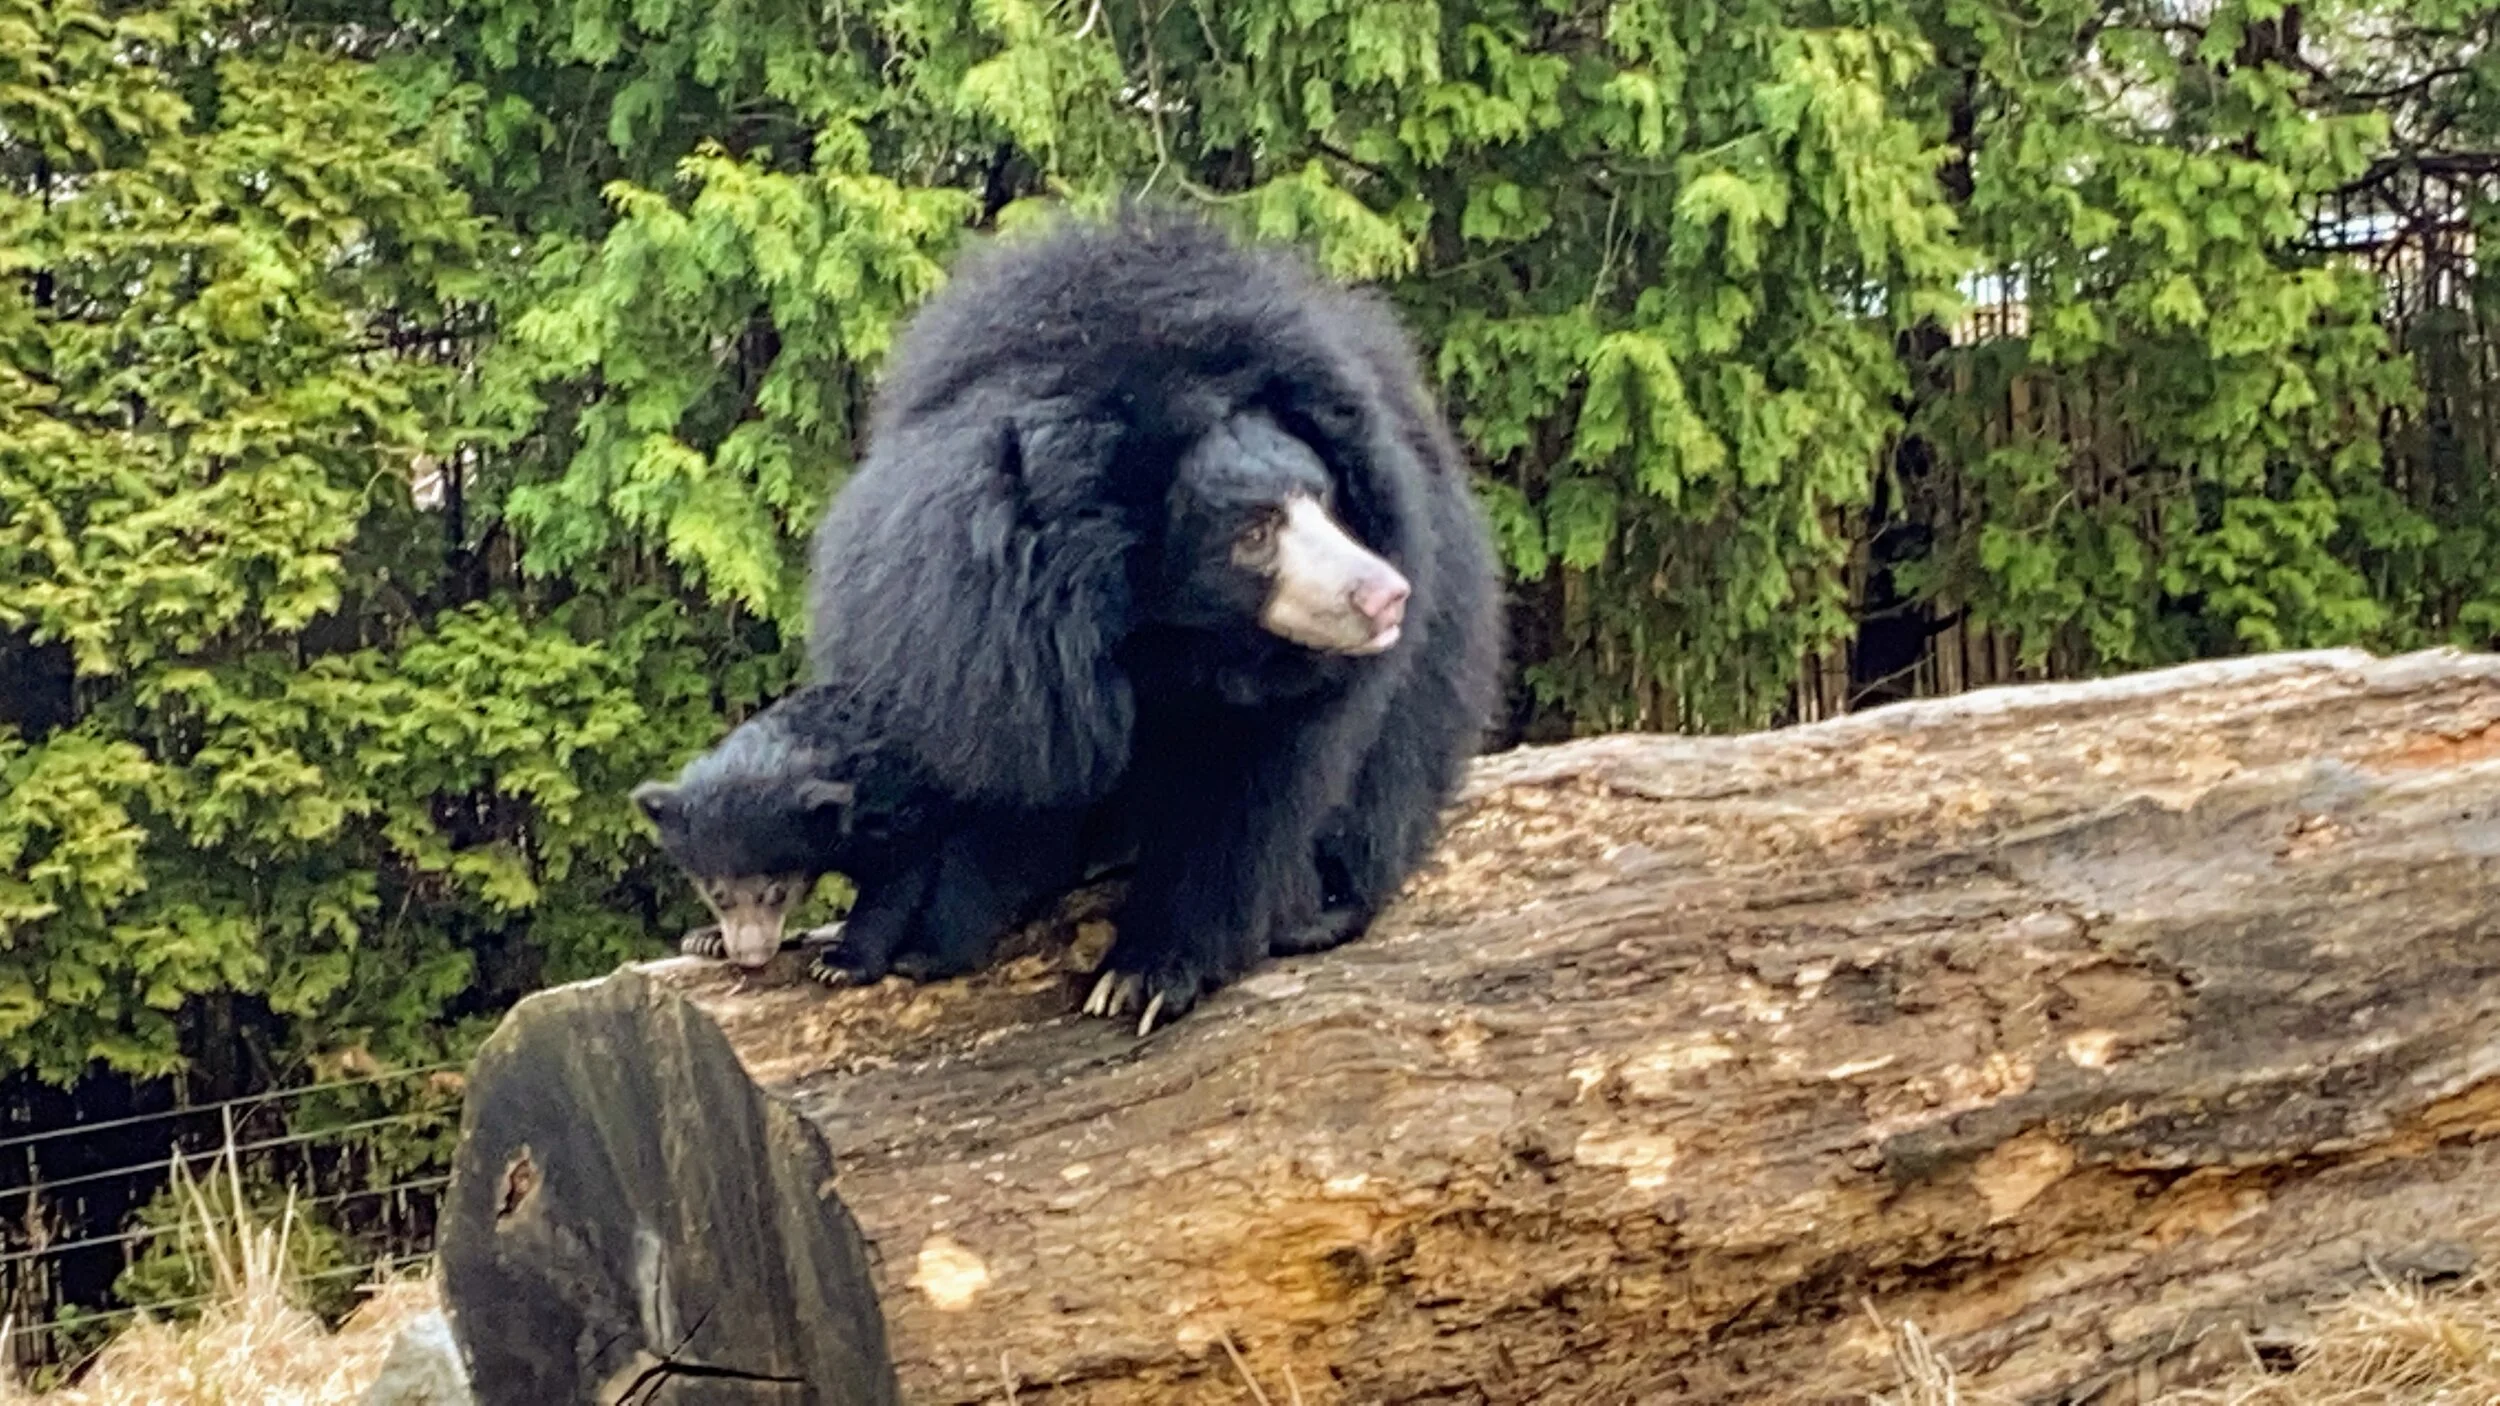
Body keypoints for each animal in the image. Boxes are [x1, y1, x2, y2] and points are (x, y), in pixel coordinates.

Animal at [631, 681, 1104, 986]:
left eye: (777, 891)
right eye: (717, 893)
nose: (751, 956)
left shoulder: (899, 806)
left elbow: (898, 878)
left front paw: (840, 965)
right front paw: (706, 938)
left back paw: (924, 958)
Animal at [803, 203, 1506, 1034]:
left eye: (1324, 495)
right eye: (1253, 534)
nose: (1386, 595)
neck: (1164, 635)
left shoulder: (1276, 696)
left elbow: (1241, 797)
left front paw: (1143, 977)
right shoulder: (986, 661)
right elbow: (989, 785)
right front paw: (904, 947)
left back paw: (1323, 907)